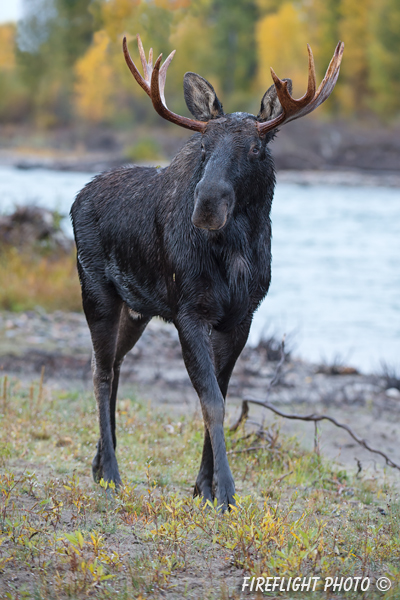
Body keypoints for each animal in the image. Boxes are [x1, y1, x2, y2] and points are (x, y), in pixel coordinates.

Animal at [69, 34, 344, 510]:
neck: (236, 256)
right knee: (100, 371)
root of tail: (76, 198)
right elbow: (211, 400)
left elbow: (223, 393)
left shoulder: (241, 317)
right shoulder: (189, 312)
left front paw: (203, 486)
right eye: (203, 148)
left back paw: (100, 463)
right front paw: (226, 493)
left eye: (255, 148)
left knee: (114, 364)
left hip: (137, 309)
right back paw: (113, 474)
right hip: (97, 292)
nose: (207, 204)